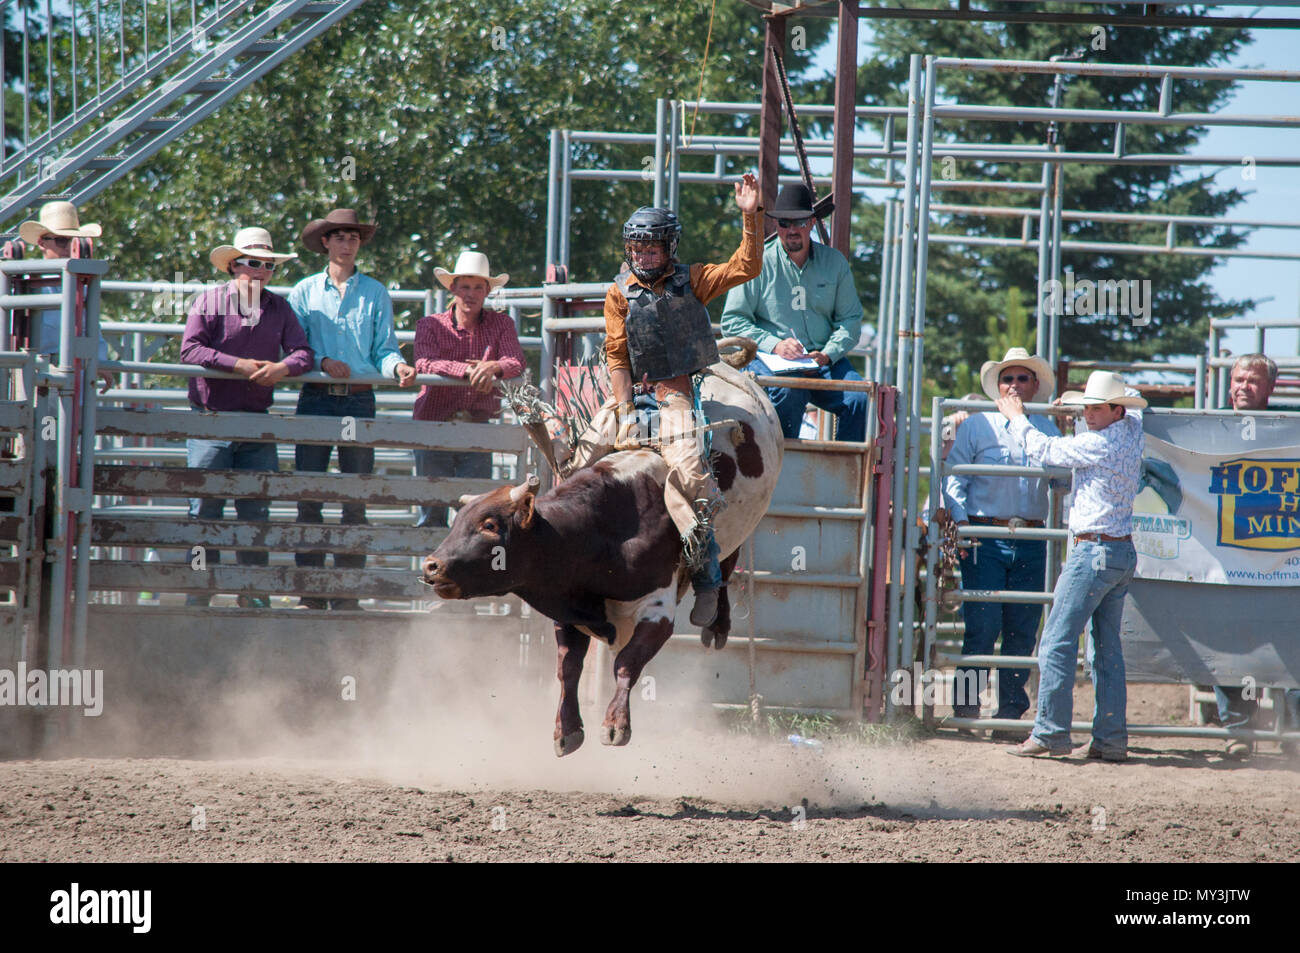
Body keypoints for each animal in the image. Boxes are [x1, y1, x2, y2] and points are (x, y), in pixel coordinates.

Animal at [421, 345, 780, 754]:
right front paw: (567, 730)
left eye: (490, 525)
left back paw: (716, 622)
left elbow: (626, 663)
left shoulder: (657, 610)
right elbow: (567, 669)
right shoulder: (568, 609)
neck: (600, 533)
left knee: (725, 559)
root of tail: (724, 363)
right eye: (458, 521)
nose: (432, 566)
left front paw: (614, 724)